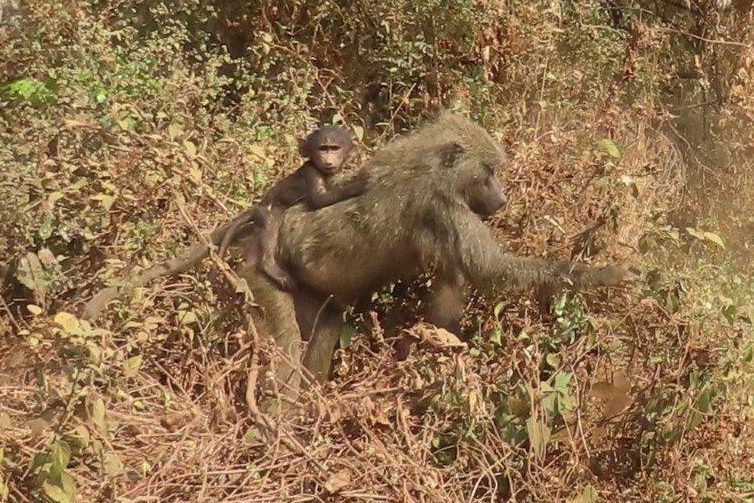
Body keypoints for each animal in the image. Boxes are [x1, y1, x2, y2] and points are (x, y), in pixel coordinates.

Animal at [218, 125, 367, 291]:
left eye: (335, 148)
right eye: (323, 148)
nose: (328, 159)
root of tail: (258, 206)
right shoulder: (311, 172)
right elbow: (318, 199)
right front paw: (357, 185)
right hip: (264, 212)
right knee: (270, 222)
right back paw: (270, 267)